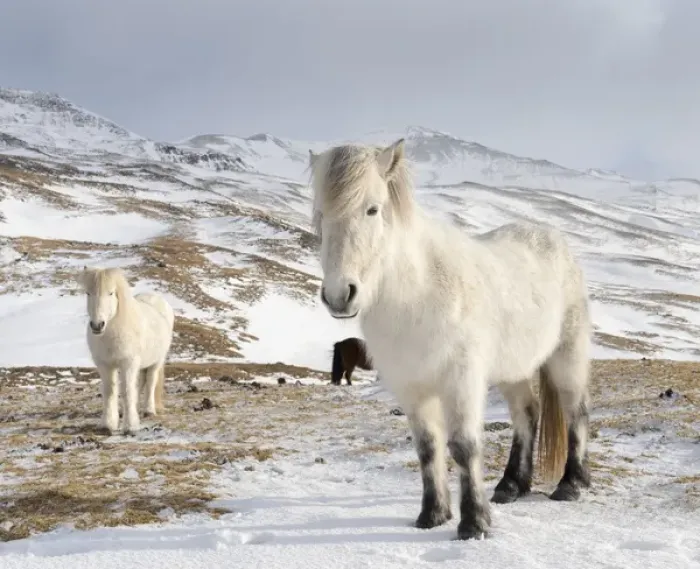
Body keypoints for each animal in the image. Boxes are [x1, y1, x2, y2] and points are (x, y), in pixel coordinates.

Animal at [77, 266, 175, 435]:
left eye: (111, 293)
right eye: (88, 293)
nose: (97, 325)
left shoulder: (128, 363)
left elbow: (127, 391)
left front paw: (130, 426)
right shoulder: (105, 365)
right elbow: (110, 391)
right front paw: (108, 424)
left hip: (156, 362)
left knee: (151, 382)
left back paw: (149, 410)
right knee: (141, 383)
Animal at [308, 140, 592, 541]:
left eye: (372, 209)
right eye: (320, 215)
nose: (338, 295)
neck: (418, 293)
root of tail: (554, 240)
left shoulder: (462, 380)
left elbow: (464, 446)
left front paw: (474, 523)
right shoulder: (412, 388)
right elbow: (428, 448)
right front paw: (432, 515)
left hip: (566, 356)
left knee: (575, 411)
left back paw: (570, 484)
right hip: (513, 370)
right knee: (527, 413)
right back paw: (511, 486)